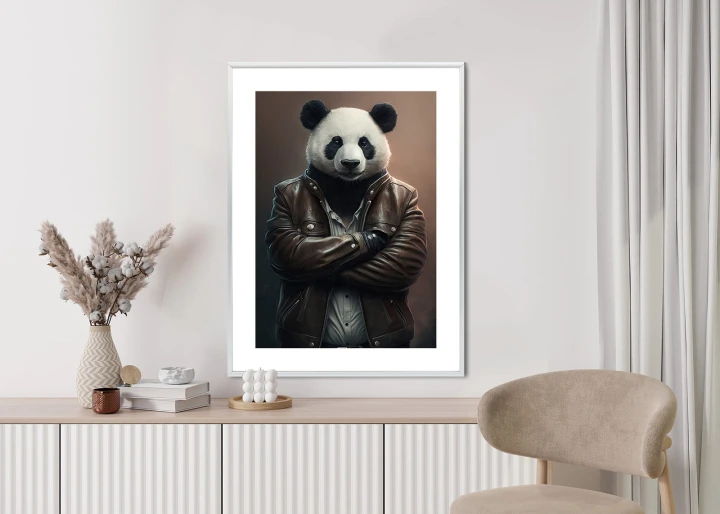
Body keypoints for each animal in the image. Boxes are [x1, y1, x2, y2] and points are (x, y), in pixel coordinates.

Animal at [265, 99, 427, 349]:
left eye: (364, 142)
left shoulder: (410, 199)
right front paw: (370, 240)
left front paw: (373, 239)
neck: (347, 186)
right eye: (336, 141)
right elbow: (291, 249)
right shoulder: (282, 200)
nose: (350, 163)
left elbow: (406, 254)